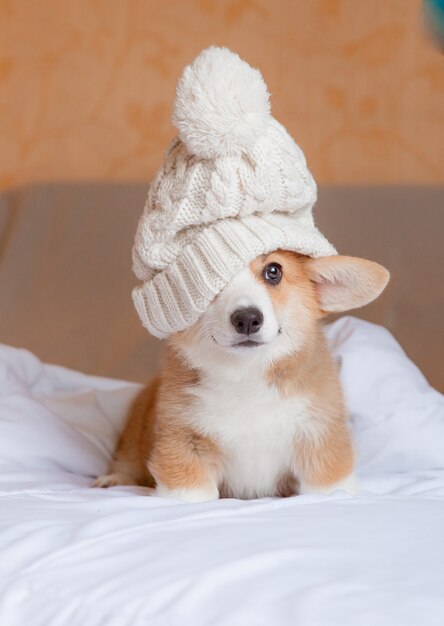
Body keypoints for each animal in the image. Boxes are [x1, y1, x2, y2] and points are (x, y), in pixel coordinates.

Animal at [94, 251, 388, 500]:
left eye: (273, 271)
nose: (247, 319)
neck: (244, 372)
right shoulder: (185, 441)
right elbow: (191, 494)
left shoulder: (319, 437)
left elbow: (327, 488)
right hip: (136, 424)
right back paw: (112, 480)